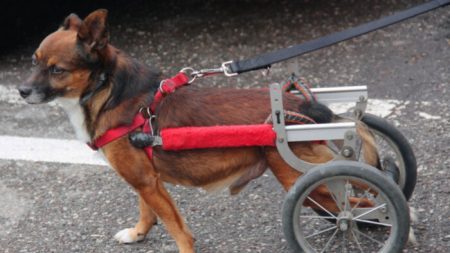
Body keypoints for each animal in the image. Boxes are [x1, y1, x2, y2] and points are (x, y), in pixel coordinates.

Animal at [17, 9, 378, 253]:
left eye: (57, 70)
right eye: (34, 61)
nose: (20, 91)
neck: (108, 91)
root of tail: (307, 109)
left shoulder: (147, 181)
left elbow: (178, 229)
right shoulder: (146, 180)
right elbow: (146, 210)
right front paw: (138, 233)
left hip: (307, 183)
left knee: (363, 205)